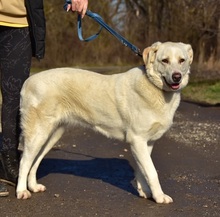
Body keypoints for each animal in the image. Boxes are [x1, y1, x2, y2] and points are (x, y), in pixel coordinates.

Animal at [16, 41, 192, 203]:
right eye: (165, 60)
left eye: (182, 60)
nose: (177, 76)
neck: (155, 88)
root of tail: (28, 81)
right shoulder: (137, 140)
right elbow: (152, 171)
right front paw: (159, 197)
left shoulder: (146, 143)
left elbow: (143, 171)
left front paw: (146, 192)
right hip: (38, 133)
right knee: (24, 161)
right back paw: (22, 191)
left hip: (52, 135)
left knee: (35, 161)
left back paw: (33, 186)